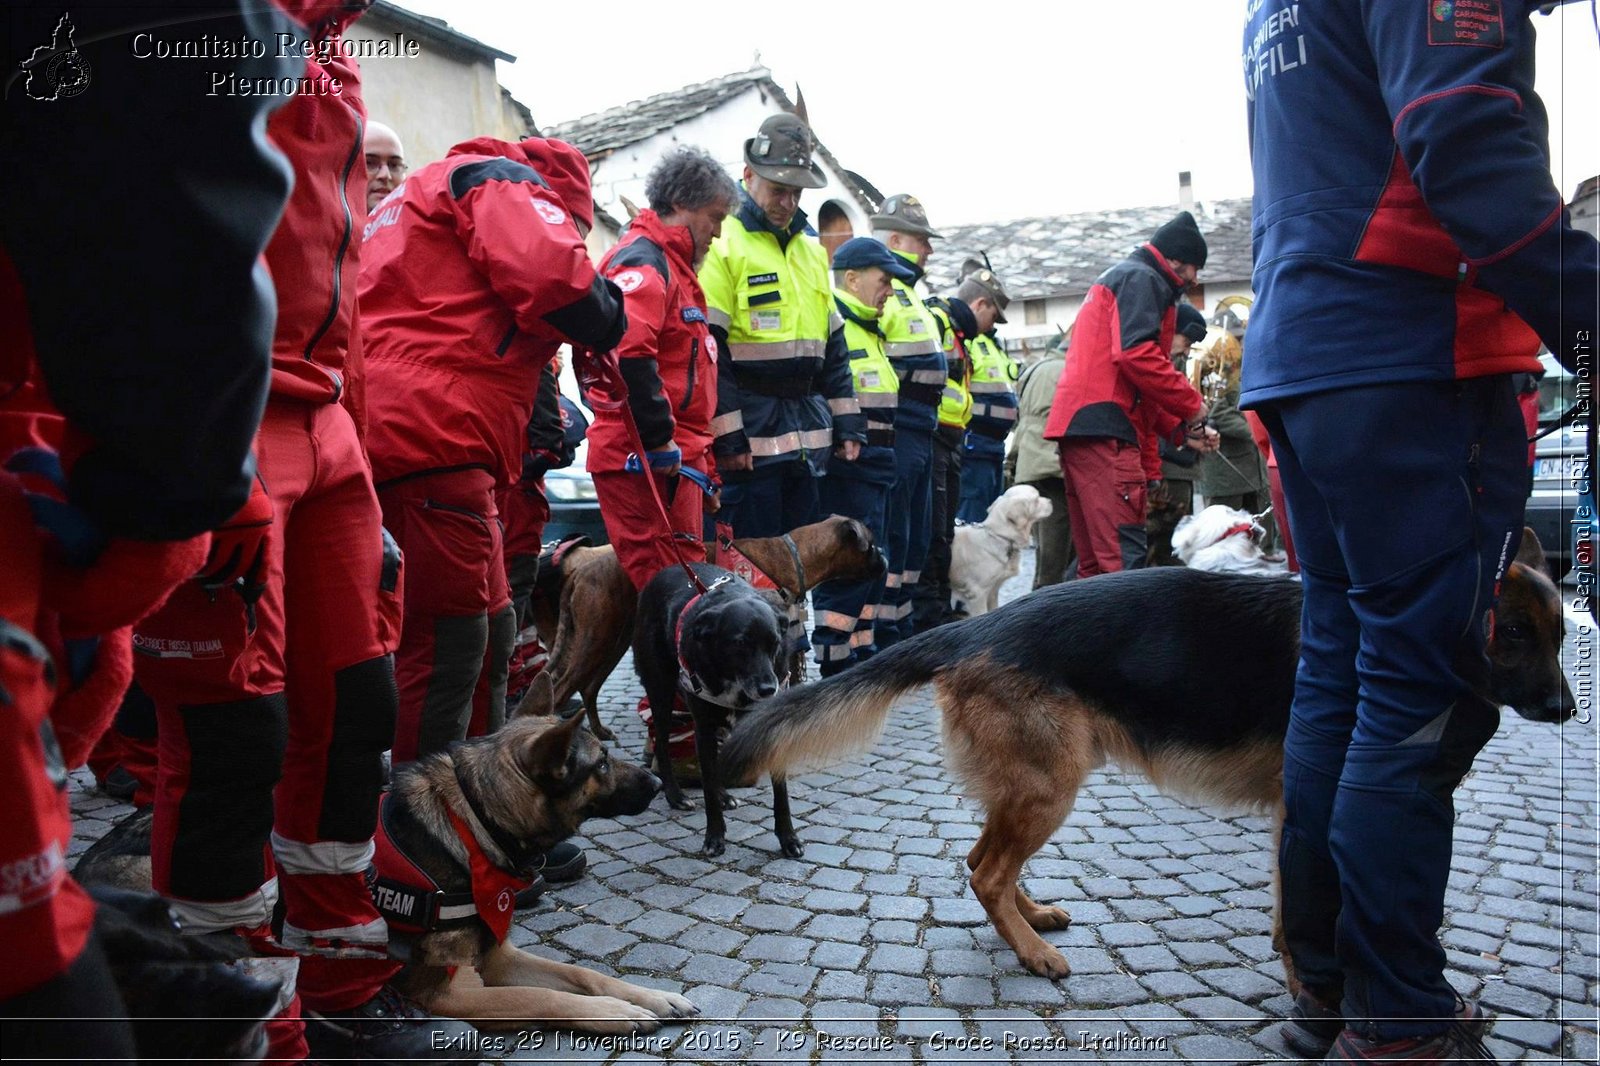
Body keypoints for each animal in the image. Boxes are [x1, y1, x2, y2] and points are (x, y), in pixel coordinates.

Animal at [531, 512, 896, 729]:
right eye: (871, 545)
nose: (887, 559)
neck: (793, 555)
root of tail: (582, 567)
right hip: (596, 639)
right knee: (562, 686)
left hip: (613, 641)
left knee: (588, 687)